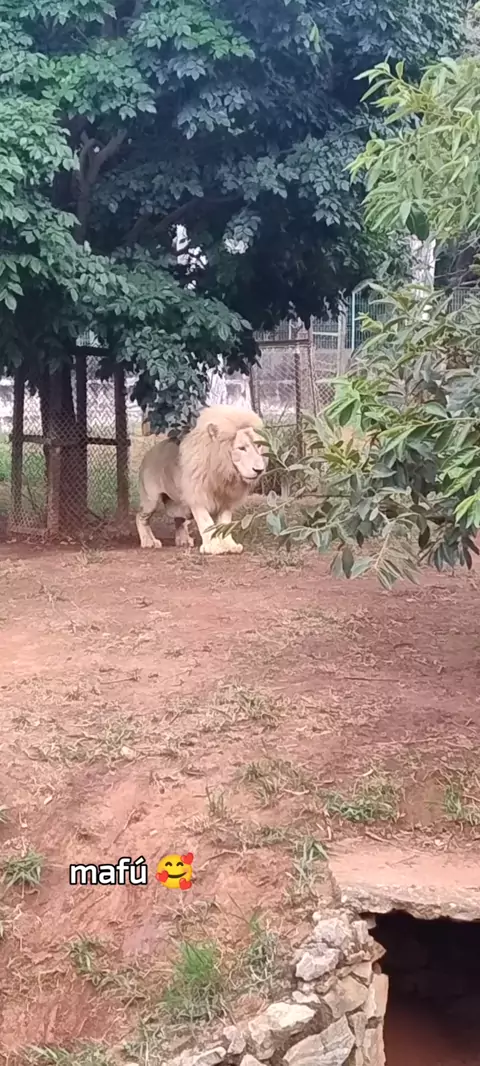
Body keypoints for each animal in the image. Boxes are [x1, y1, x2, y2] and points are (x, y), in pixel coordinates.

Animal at [135, 405, 267, 555]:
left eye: (258, 446)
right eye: (241, 448)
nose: (259, 470)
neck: (224, 472)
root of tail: (148, 453)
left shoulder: (226, 500)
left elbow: (225, 524)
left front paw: (230, 546)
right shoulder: (197, 496)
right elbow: (206, 522)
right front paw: (213, 547)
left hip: (180, 504)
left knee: (179, 519)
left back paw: (184, 540)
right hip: (152, 500)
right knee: (140, 518)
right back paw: (148, 541)